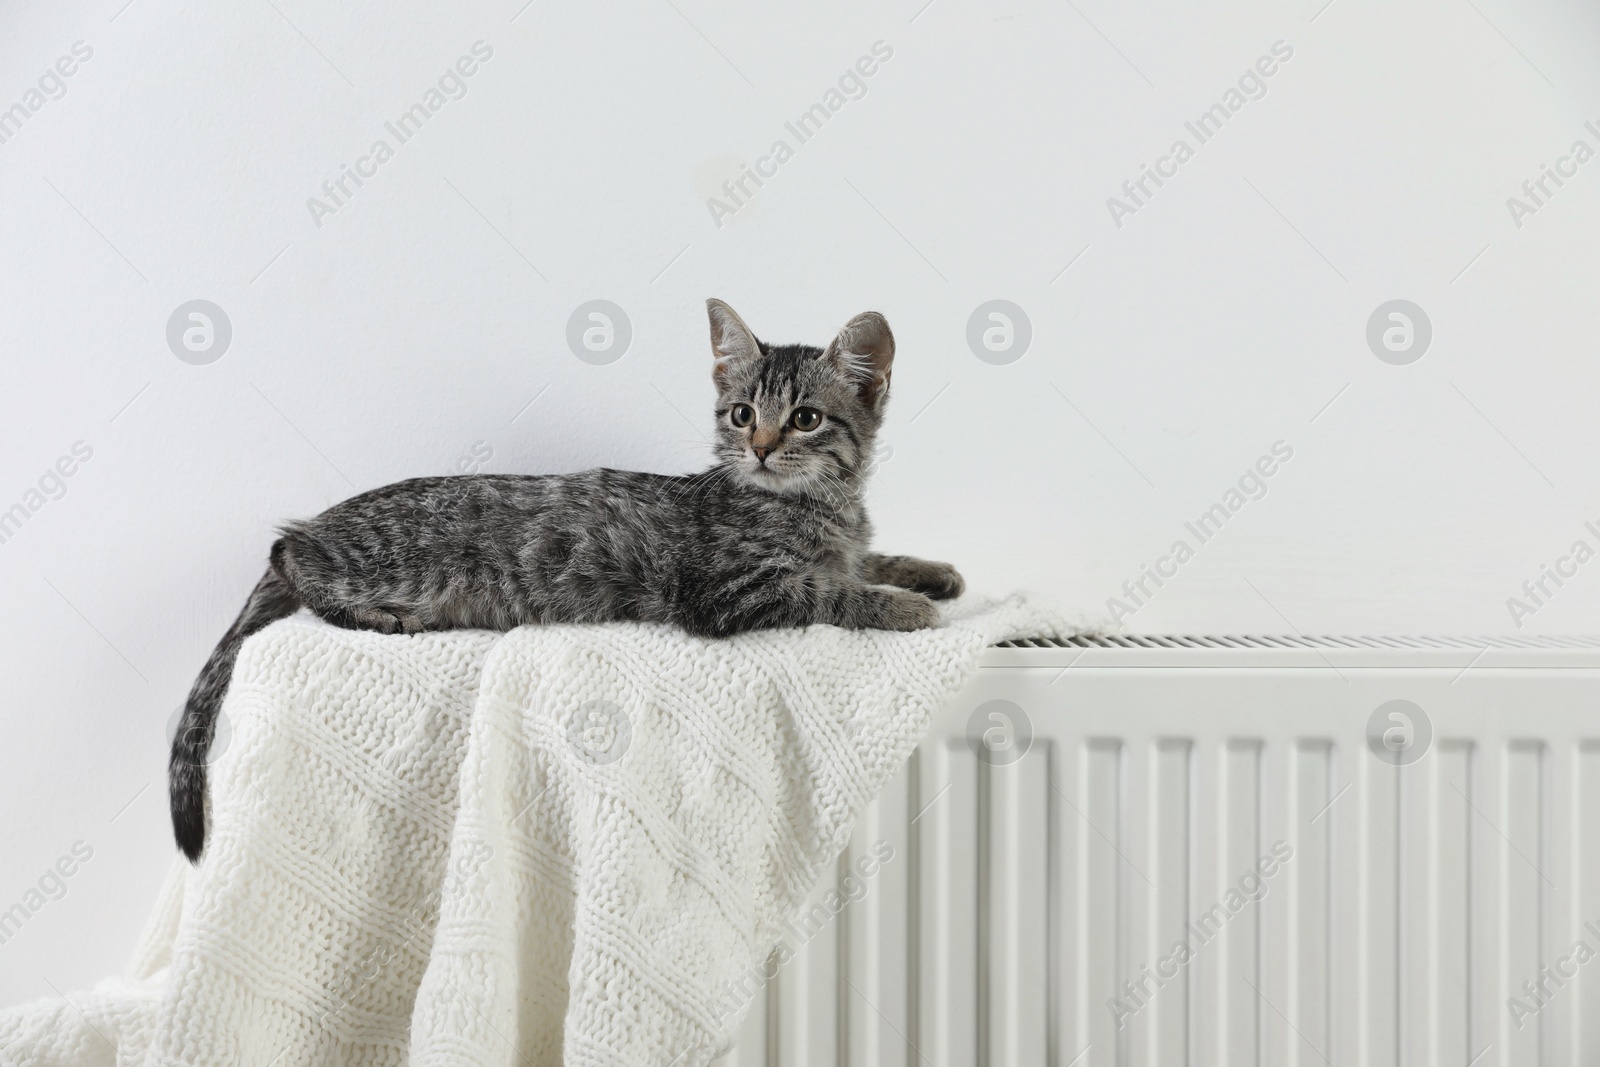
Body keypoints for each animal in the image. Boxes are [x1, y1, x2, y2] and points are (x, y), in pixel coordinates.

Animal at [167, 299, 960, 857]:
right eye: (742, 414)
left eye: (804, 418)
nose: (761, 448)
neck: (816, 505)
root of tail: (320, 521)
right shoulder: (729, 592)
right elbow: (830, 590)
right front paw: (904, 606)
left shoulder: (839, 544)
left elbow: (864, 560)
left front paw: (932, 571)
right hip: (365, 561)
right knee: (289, 558)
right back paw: (378, 610)